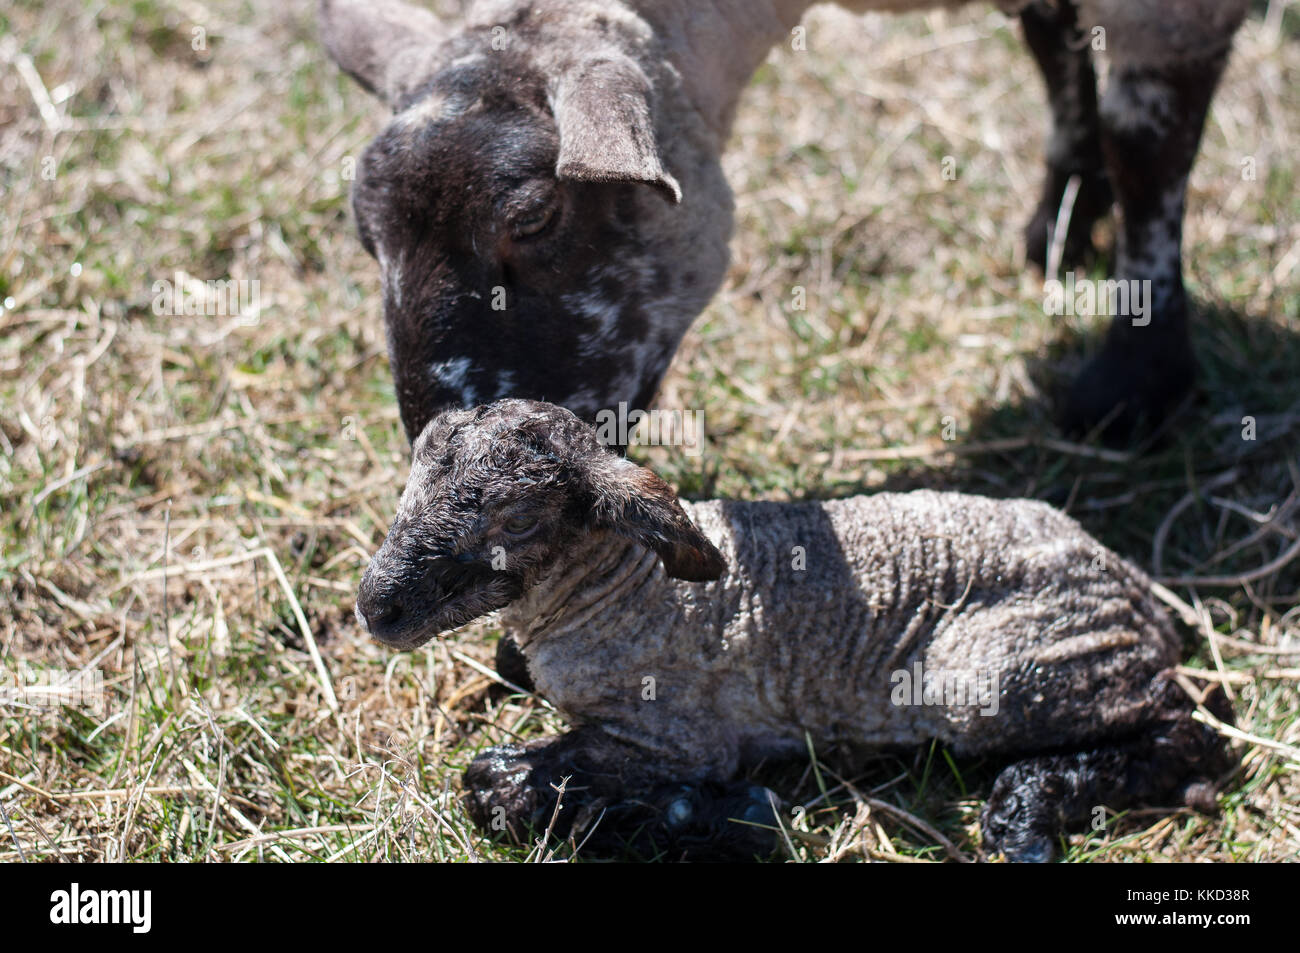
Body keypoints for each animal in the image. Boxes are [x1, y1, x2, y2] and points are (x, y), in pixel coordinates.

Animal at [319, 0, 1249, 445]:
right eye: (367, 238)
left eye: (538, 214)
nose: (446, 442)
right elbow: (1056, 43)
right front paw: (1062, 216)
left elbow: (1148, 145)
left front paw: (1138, 379)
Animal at [355, 399, 1233, 861]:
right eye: (411, 481)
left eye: (516, 520)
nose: (375, 605)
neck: (623, 591)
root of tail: (1132, 587)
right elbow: (510, 668)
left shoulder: (676, 735)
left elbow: (509, 778)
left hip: (1006, 667)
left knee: (1186, 730)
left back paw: (1027, 808)